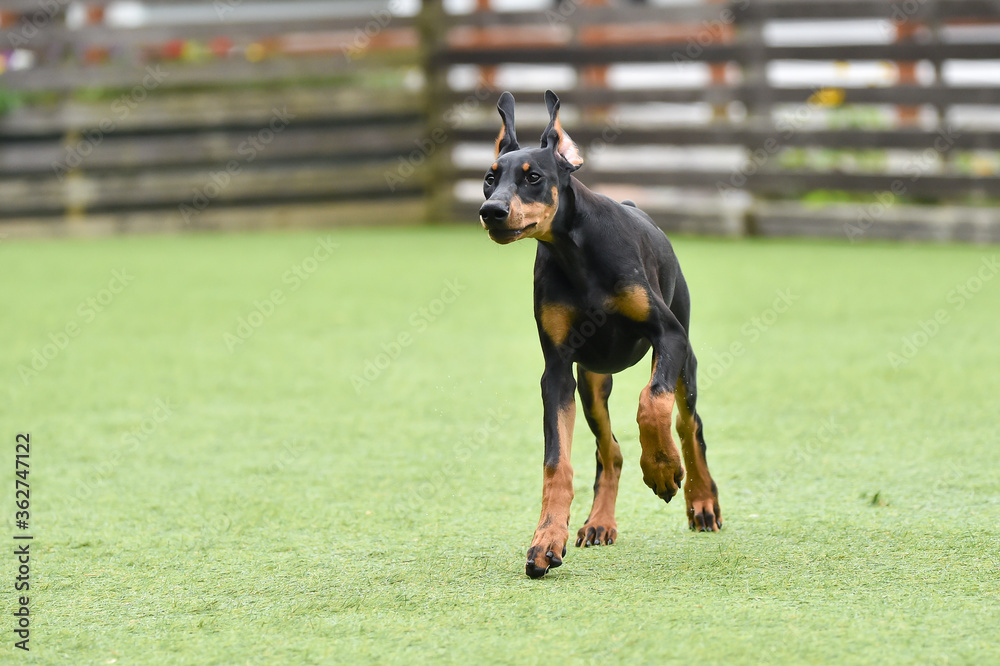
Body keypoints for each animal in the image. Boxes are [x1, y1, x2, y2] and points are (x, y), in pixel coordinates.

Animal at [480, 91, 724, 580]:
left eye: (533, 176)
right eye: (489, 179)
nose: (491, 212)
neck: (575, 253)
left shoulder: (668, 335)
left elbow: (652, 402)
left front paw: (663, 468)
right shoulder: (556, 371)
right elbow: (557, 462)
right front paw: (546, 539)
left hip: (685, 357)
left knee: (688, 422)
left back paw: (701, 498)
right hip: (592, 382)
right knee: (609, 450)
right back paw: (599, 523)